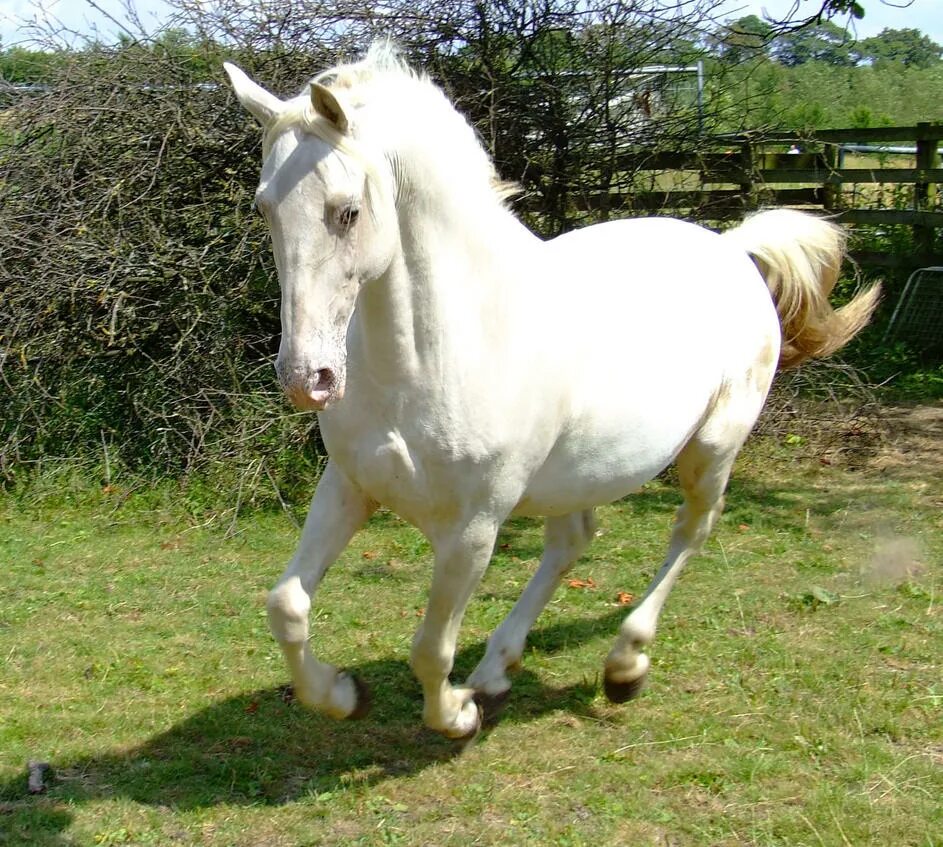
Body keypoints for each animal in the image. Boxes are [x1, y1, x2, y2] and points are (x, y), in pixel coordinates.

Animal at [225, 43, 880, 740]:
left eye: (347, 211)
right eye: (265, 209)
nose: (306, 378)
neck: (440, 353)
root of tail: (731, 248)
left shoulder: (474, 528)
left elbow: (430, 649)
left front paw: (455, 716)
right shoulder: (350, 486)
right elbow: (286, 606)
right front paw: (344, 695)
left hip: (712, 450)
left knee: (690, 531)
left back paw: (623, 665)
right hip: (577, 473)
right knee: (573, 542)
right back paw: (496, 671)